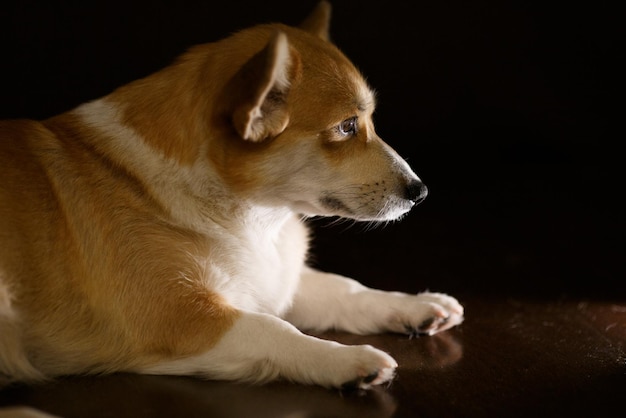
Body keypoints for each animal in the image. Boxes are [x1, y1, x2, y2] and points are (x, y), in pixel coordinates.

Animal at [0, 1, 458, 390]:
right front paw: (349, 361)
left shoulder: (275, 283)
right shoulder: (185, 320)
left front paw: (418, 306)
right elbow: (275, 328)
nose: (420, 192)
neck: (258, 216)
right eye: (346, 127)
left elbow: (344, 288)